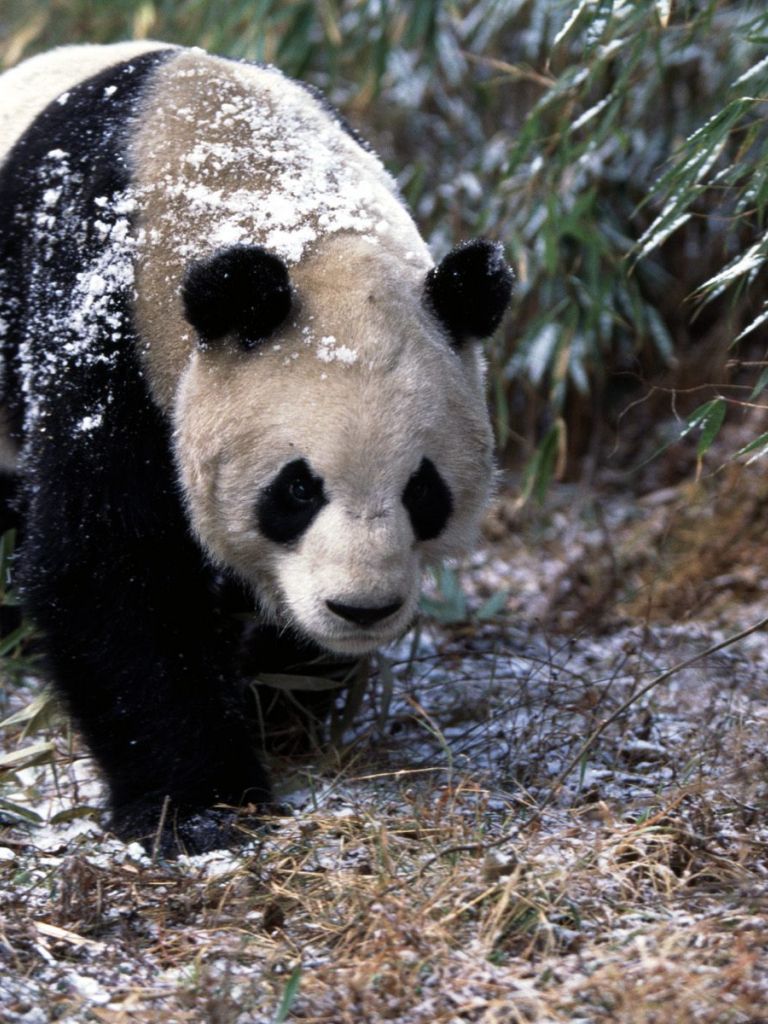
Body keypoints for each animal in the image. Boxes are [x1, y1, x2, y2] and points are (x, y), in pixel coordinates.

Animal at [0, 43, 512, 854]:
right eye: (297, 489)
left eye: (422, 490)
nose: (362, 608)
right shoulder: (101, 317)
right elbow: (111, 565)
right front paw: (200, 807)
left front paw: (279, 705)